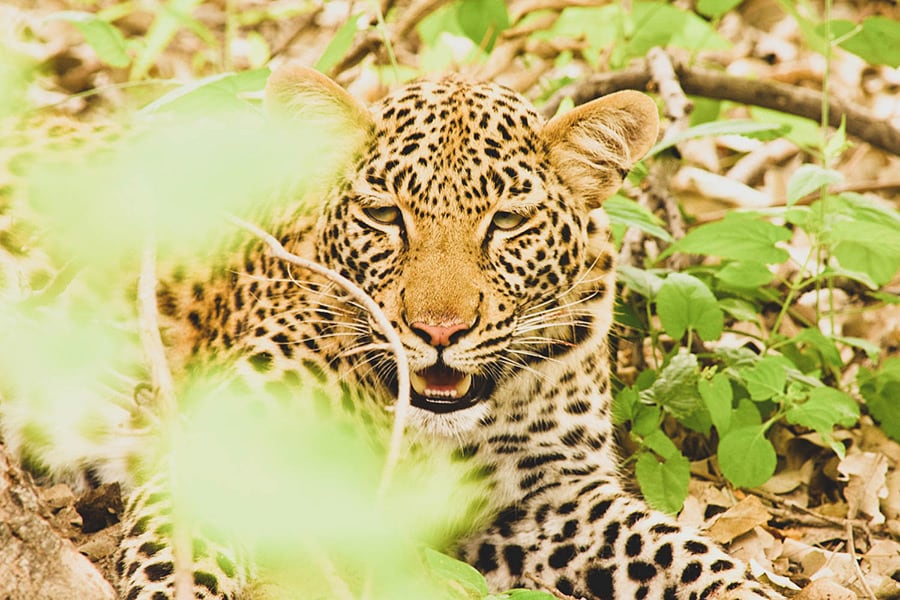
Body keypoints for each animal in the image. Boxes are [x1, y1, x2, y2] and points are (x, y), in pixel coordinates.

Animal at [3, 65, 784, 600]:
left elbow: (678, 549)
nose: (439, 330)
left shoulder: (548, 495)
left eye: (506, 222)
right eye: (384, 216)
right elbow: (178, 569)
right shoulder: (225, 459)